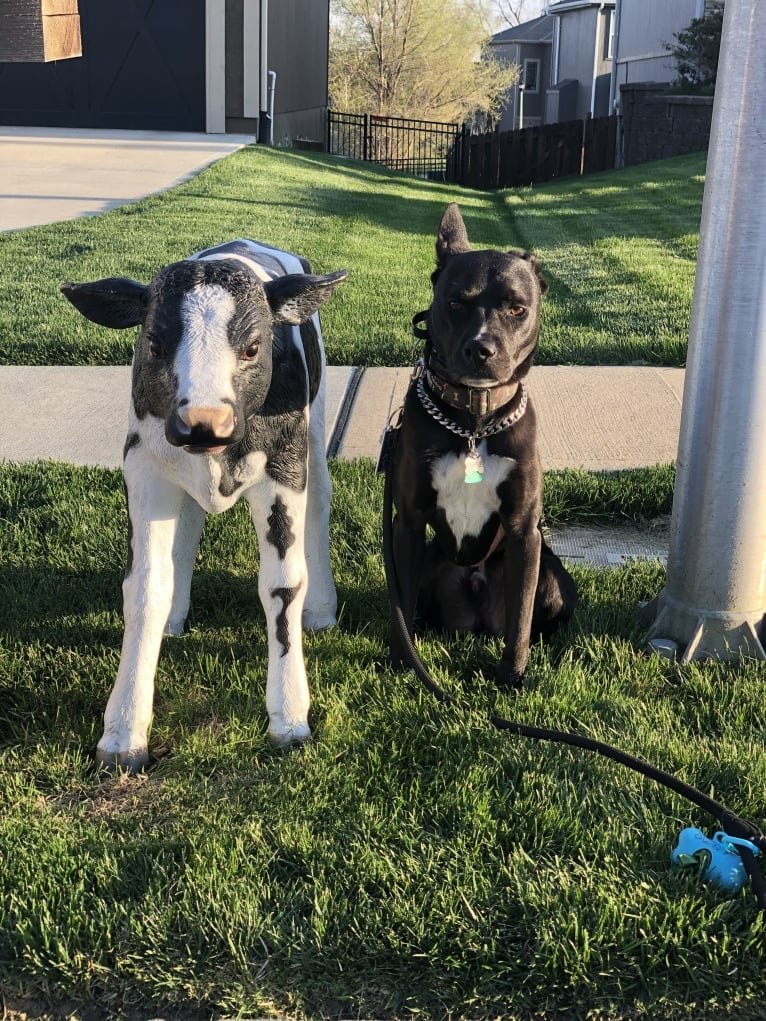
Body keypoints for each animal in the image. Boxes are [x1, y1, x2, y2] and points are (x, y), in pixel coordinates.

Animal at [390, 203, 576, 690]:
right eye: (455, 302)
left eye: (518, 308)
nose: (481, 350)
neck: (474, 421)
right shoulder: (407, 523)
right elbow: (401, 608)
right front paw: (402, 665)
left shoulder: (523, 533)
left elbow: (520, 617)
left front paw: (512, 677)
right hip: (431, 561)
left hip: (553, 576)